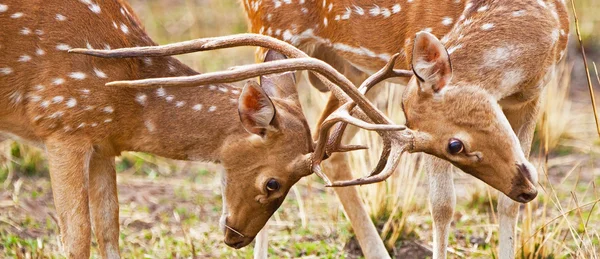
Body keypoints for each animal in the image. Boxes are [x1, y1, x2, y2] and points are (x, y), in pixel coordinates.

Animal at [0, 1, 422, 258]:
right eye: (273, 183)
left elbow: (109, 229)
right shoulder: (61, 122)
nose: (238, 237)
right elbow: (76, 239)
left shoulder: (102, 144)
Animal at [241, 0, 568, 259]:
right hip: (270, 30)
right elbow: (442, 205)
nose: (525, 189)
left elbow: (507, 205)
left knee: (329, 146)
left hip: (356, 76)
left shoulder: (532, 98)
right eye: (455, 145)